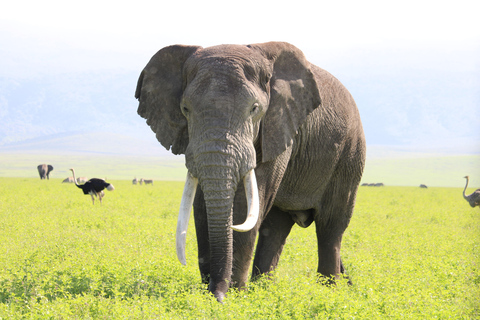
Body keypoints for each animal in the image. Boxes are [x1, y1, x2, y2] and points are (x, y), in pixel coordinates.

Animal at [136, 41, 368, 302]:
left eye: (254, 109)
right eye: (185, 109)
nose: (217, 294)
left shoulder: (279, 125)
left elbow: (246, 203)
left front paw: (234, 295)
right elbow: (201, 205)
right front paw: (214, 294)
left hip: (348, 154)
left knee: (330, 227)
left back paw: (329, 292)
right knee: (275, 228)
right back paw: (264, 290)